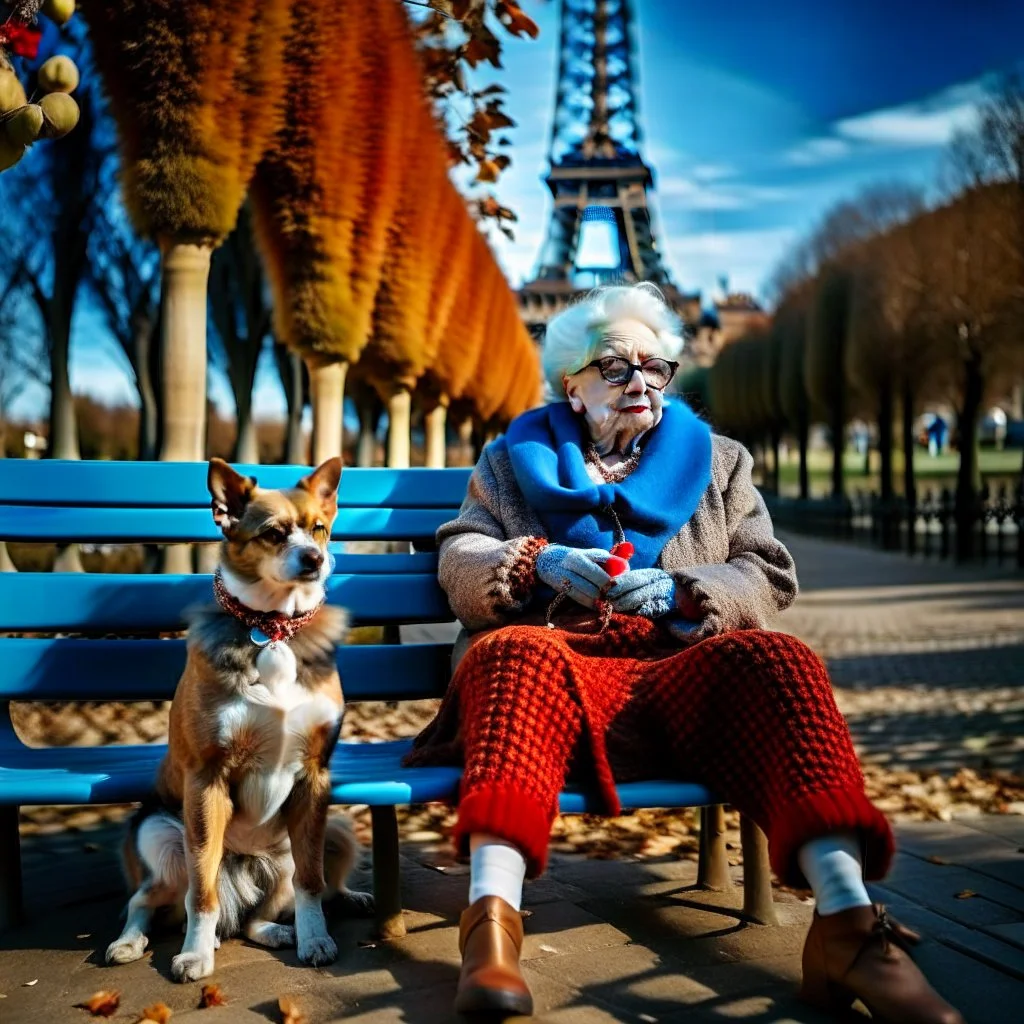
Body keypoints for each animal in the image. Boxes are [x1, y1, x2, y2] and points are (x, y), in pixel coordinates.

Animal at [107, 458, 372, 983]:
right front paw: (194, 954)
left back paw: (293, 925)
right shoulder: (207, 779)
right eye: (272, 533)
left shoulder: (314, 779)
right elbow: (202, 891)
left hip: (335, 831)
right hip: (159, 837)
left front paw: (316, 939)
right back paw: (130, 942)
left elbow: (312, 883)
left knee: (259, 916)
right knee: (147, 898)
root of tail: (245, 866)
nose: (315, 559)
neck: (273, 630)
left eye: (319, 528)